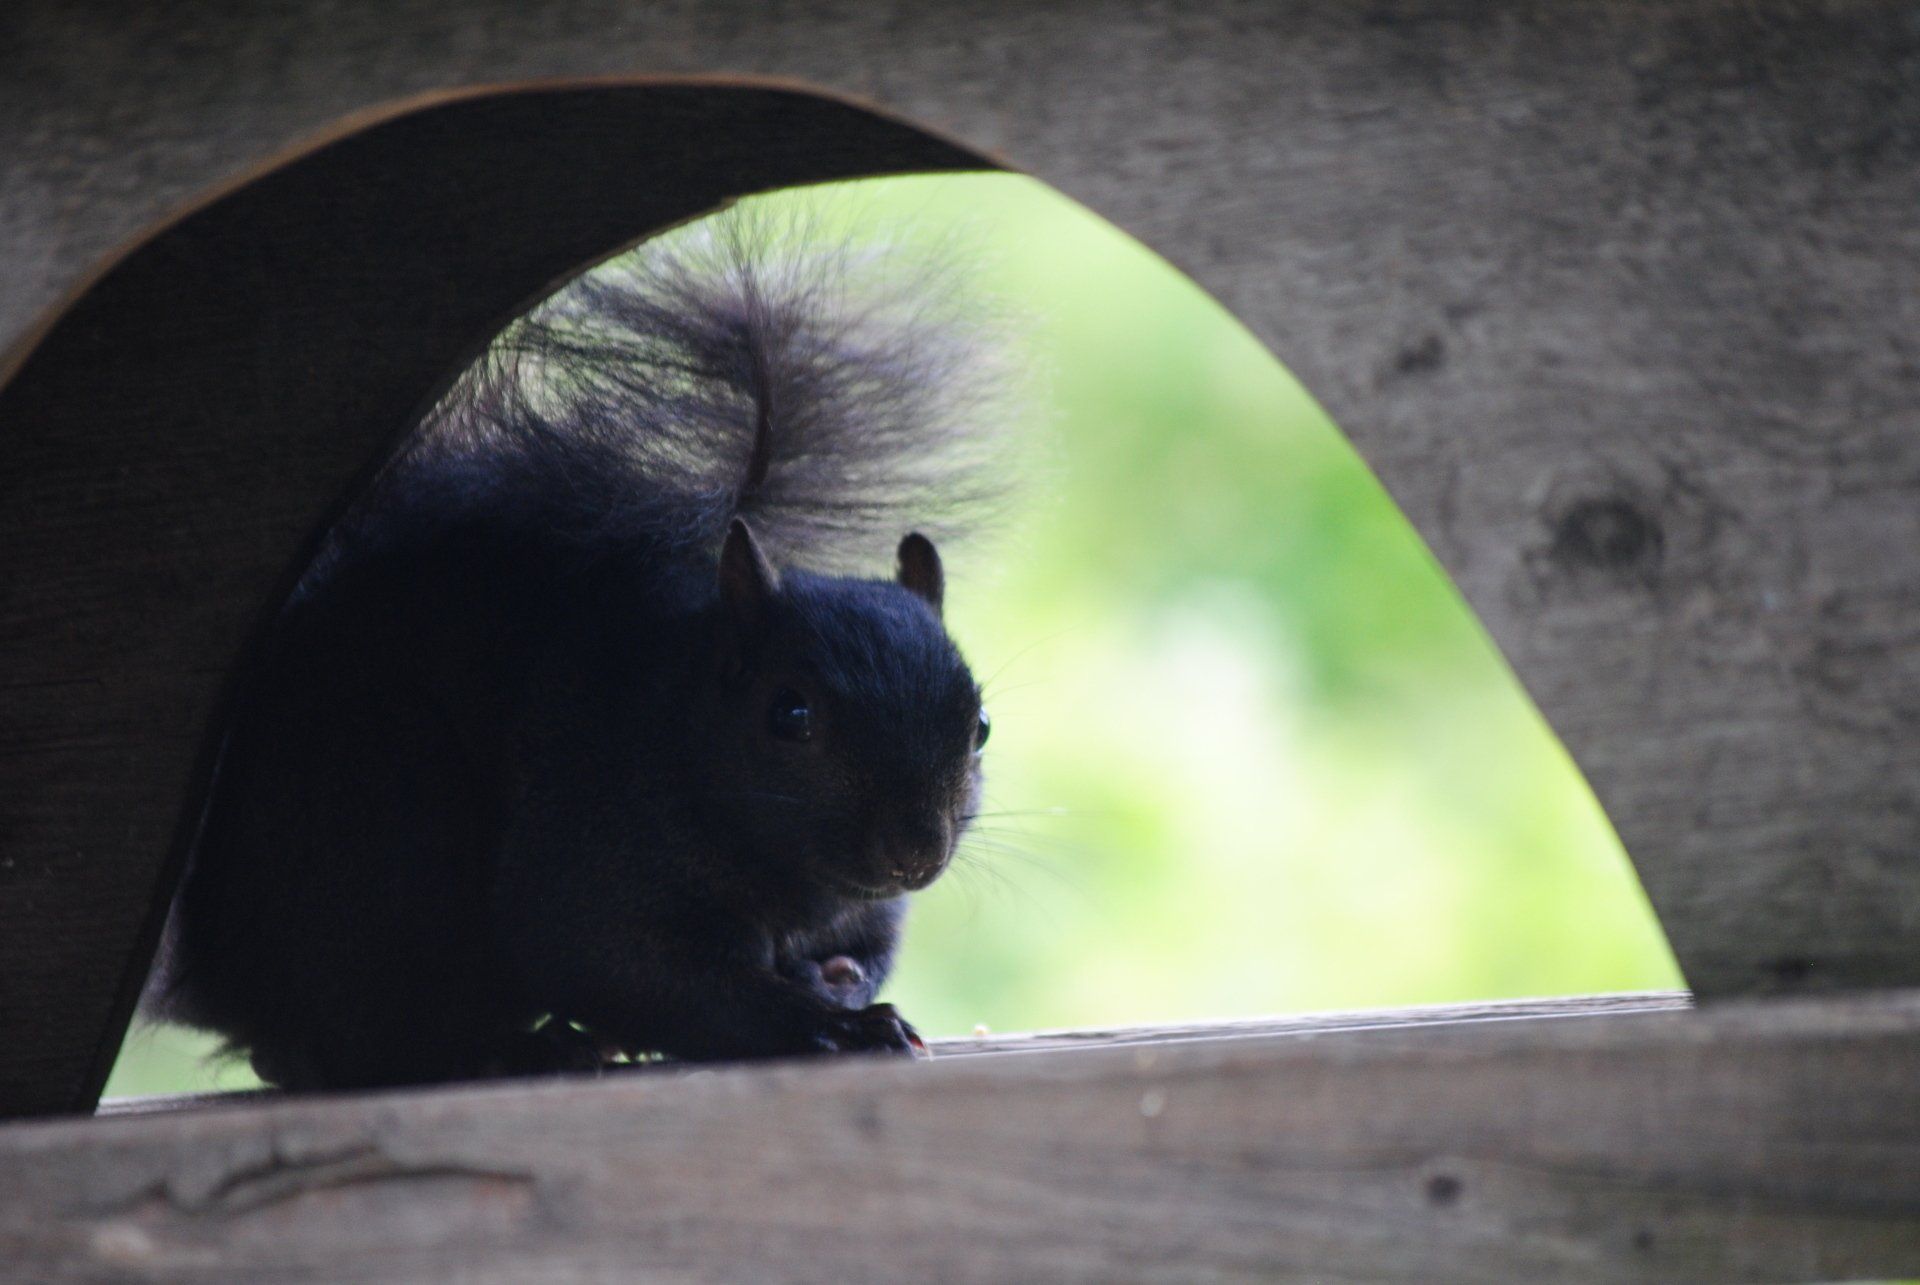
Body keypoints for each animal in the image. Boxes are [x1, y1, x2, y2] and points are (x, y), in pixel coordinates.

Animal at [144, 214, 1010, 1090]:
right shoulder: (590, 838)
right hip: (384, 834)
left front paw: (831, 981)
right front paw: (834, 1025)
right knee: (351, 1047)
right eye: (790, 714)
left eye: (980, 728)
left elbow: (857, 954)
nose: (915, 851)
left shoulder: (866, 913)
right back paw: (516, 1046)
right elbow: (630, 966)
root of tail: (217, 971)